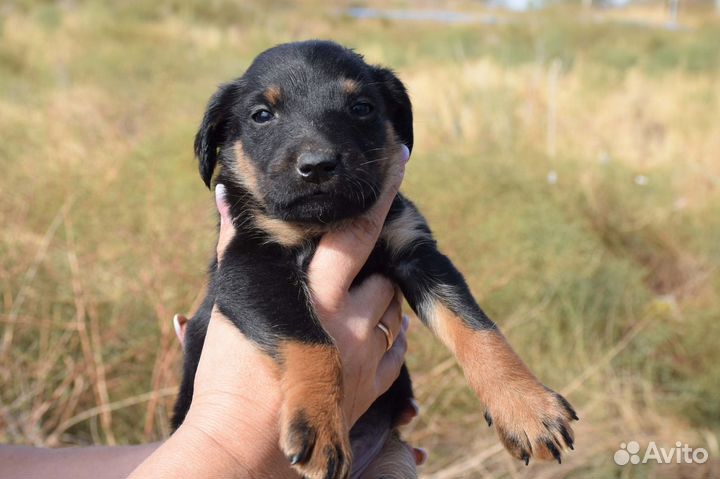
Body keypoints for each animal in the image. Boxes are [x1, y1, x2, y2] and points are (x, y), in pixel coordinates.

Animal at [172, 40, 576, 479]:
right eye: (261, 115)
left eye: (361, 107)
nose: (317, 166)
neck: (327, 223)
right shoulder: (251, 264)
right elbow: (311, 339)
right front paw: (319, 423)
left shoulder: (417, 253)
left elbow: (477, 328)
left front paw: (527, 407)